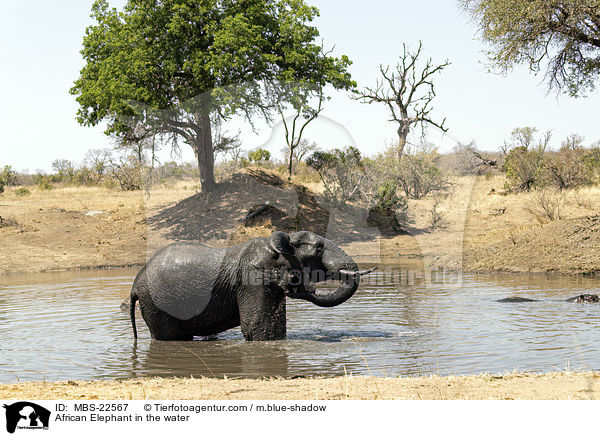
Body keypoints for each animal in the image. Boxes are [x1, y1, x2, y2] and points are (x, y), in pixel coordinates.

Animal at [130, 232, 376, 340]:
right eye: (318, 249)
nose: (304, 289)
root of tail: (135, 284)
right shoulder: (252, 278)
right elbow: (259, 328)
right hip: (158, 304)